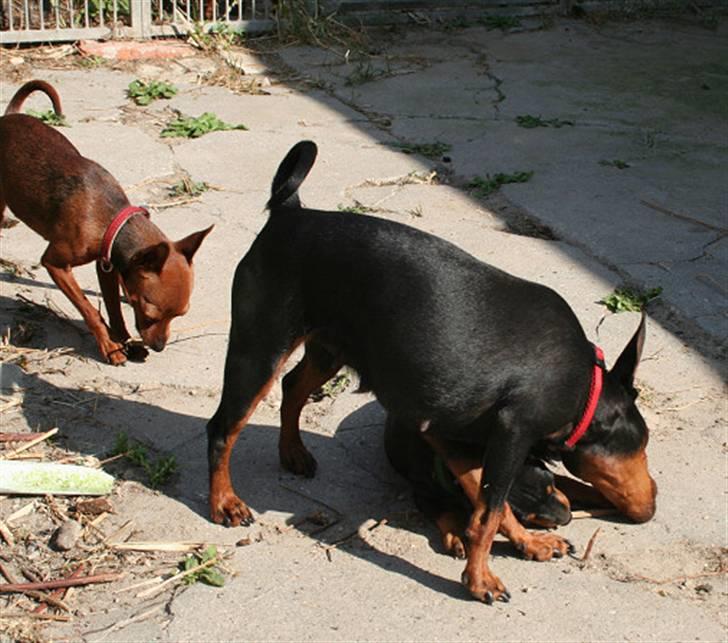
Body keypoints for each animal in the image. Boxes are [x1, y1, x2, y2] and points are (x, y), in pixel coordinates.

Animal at [0, 79, 212, 368]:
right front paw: (110, 345)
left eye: (180, 315)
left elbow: (113, 307)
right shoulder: (56, 264)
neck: (110, 219)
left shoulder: (108, 266)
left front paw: (124, 339)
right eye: (150, 315)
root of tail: (8, 116)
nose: (159, 347)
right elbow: (90, 310)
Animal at [208, 140, 656, 604]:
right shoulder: (510, 436)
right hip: (258, 348)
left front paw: (527, 543)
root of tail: (289, 212)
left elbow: (491, 504)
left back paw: (292, 451)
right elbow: (488, 513)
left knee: (293, 385)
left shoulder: (450, 435)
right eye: (642, 443)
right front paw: (479, 580)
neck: (583, 388)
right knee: (223, 427)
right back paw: (224, 502)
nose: (654, 503)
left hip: (326, 350)